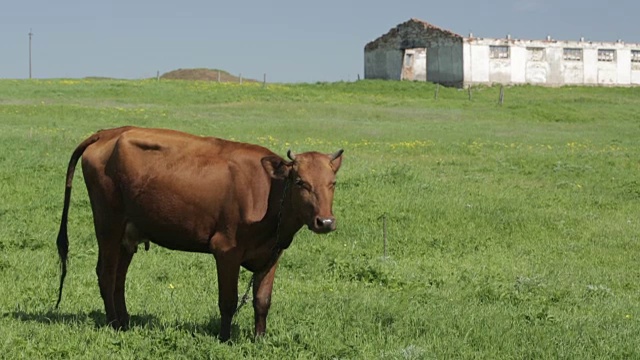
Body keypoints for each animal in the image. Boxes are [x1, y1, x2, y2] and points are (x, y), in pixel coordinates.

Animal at [55, 126, 342, 340]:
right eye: (300, 182)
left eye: (333, 183)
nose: (325, 221)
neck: (269, 193)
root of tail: (108, 132)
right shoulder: (226, 250)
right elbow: (228, 300)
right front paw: (225, 339)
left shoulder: (272, 254)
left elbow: (262, 301)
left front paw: (260, 339)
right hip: (108, 225)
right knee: (106, 273)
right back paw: (114, 324)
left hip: (128, 233)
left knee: (118, 278)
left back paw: (124, 322)